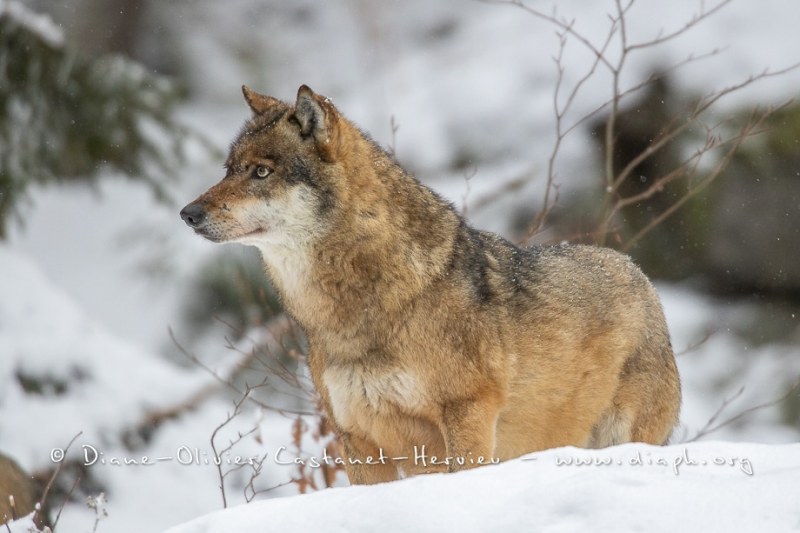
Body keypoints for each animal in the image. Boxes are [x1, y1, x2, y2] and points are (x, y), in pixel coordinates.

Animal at [181, 85, 680, 484]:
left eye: (261, 172)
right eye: (229, 169)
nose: (188, 213)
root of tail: (638, 272)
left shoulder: (467, 414)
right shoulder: (358, 439)